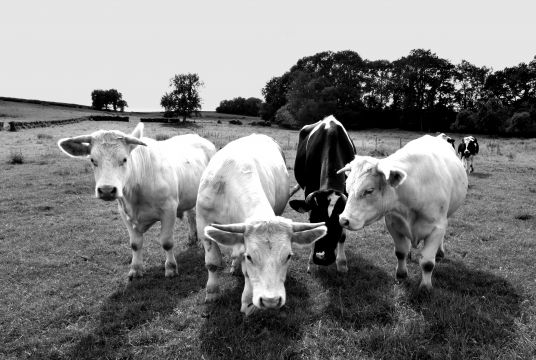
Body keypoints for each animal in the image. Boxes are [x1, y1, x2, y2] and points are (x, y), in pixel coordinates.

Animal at [58, 123, 216, 278]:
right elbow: (135, 244)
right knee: (191, 215)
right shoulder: (124, 213)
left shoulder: (169, 209)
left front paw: (171, 267)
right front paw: (135, 269)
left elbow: (167, 242)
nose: (107, 190)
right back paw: (192, 238)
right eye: (92, 160)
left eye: (124, 159)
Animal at [197, 134, 326, 314]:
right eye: (250, 256)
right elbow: (212, 263)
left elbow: (246, 272)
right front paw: (212, 293)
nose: (270, 301)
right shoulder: (202, 222)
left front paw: (248, 303)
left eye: (288, 256)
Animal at [288, 115, 356, 272]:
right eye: (313, 219)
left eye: (338, 222)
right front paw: (311, 264)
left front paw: (342, 263)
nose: (321, 257)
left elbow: (343, 236)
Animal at [340, 134, 468, 290]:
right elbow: (400, 252)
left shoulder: (437, 228)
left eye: (369, 190)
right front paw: (401, 275)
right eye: (347, 187)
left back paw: (440, 252)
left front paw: (425, 288)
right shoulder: (393, 224)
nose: (343, 220)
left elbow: (427, 263)